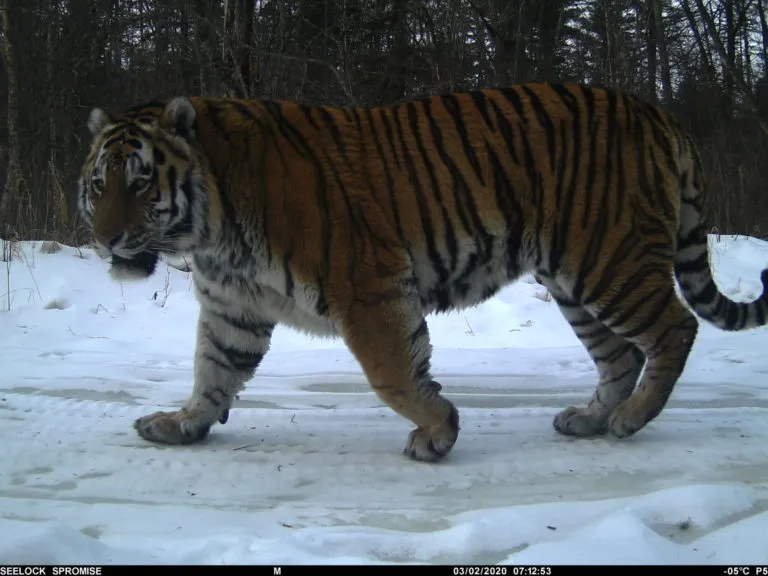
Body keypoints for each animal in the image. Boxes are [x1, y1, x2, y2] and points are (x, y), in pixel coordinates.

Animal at [76, 83, 768, 464]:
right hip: (573, 279)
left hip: (608, 257)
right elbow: (212, 370)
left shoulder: (367, 288)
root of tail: (657, 111)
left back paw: (631, 418)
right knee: (620, 355)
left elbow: (392, 374)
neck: (212, 228)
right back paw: (591, 420)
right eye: (99, 184)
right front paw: (182, 424)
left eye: (141, 183)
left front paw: (438, 432)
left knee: (674, 328)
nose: (105, 238)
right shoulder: (233, 306)